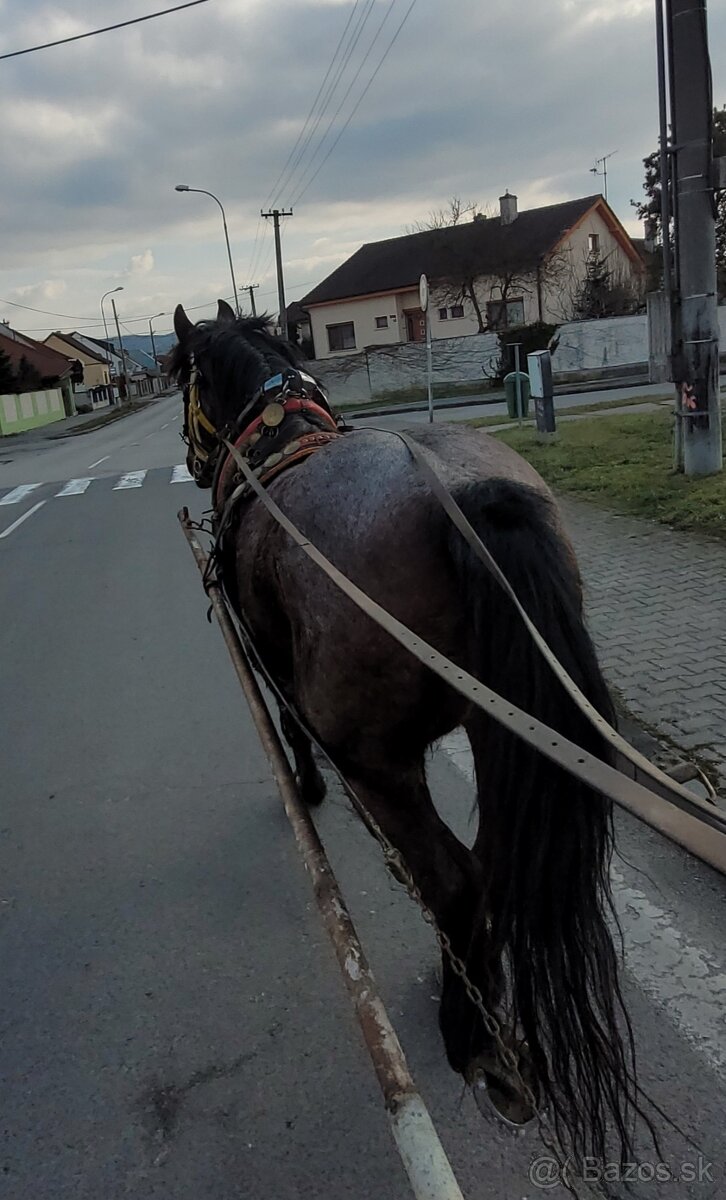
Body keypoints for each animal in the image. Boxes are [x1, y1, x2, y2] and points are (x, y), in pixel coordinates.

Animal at [171, 297, 643, 1161]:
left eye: (185, 376)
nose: (191, 461)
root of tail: (468, 497)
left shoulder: (274, 666)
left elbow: (289, 730)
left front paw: (305, 787)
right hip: (505, 728)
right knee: (493, 866)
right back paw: (477, 990)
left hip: (379, 760)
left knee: (455, 878)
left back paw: (467, 1031)